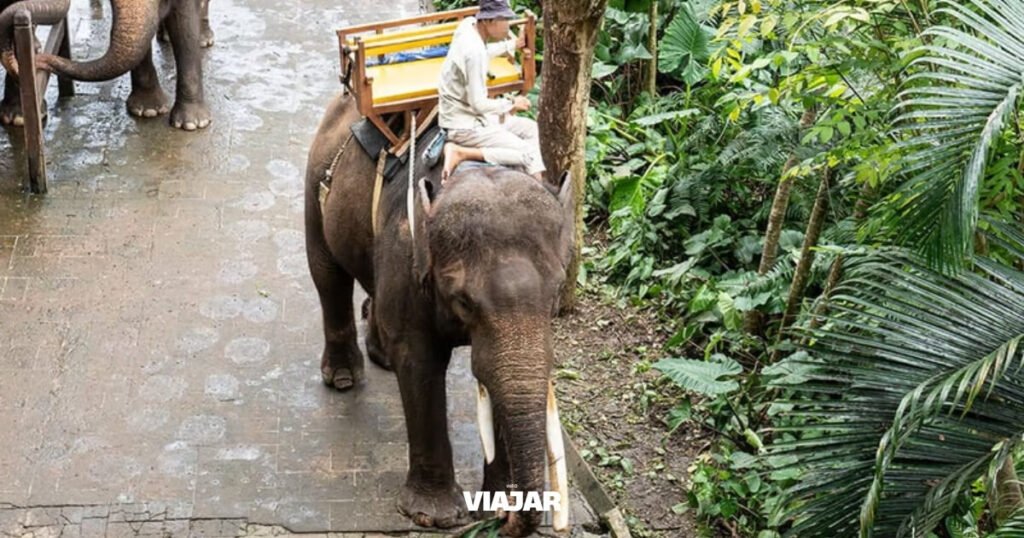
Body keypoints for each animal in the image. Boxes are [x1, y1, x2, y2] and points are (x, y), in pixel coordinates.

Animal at [305, 93, 574, 537]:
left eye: (556, 296)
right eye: (464, 301)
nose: (507, 520)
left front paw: (496, 505)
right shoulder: (408, 247)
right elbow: (419, 361)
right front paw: (435, 516)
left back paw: (379, 355)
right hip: (316, 181)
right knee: (328, 273)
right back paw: (344, 378)